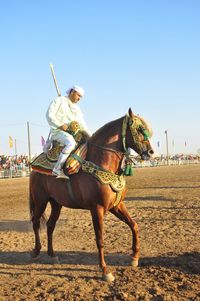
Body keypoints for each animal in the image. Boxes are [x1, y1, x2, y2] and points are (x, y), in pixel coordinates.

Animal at [28, 108, 153, 282]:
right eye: (140, 129)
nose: (150, 152)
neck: (101, 164)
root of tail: (34, 167)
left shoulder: (116, 205)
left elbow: (133, 225)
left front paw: (134, 257)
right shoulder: (97, 209)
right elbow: (100, 239)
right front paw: (105, 271)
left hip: (56, 203)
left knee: (50, 225)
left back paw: (52, 255)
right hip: (40, 200)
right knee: (35, 222)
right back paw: (35, 251)